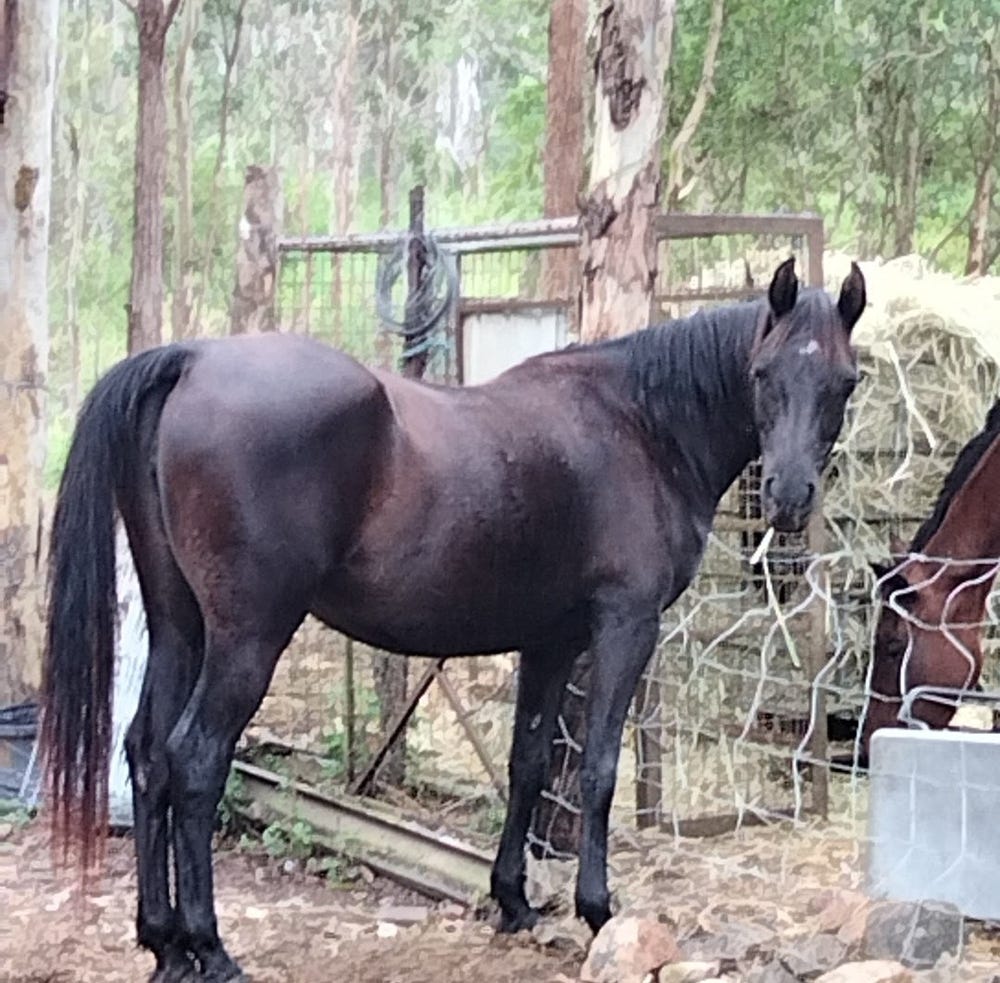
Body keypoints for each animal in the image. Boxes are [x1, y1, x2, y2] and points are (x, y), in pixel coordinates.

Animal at [41, 256, 866, 982]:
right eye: (763, 375)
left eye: (842, 382)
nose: (791, 496)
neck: (641, 424)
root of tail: (192, 358)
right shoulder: (624, 627)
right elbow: (596, 770)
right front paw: (597, 908)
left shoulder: (550, 641)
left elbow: (529, 763)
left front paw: (514, 901)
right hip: (247, 638)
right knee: (195, 759)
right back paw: (209, 946)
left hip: (180, 625)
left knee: (148, 753)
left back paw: (164, 942)